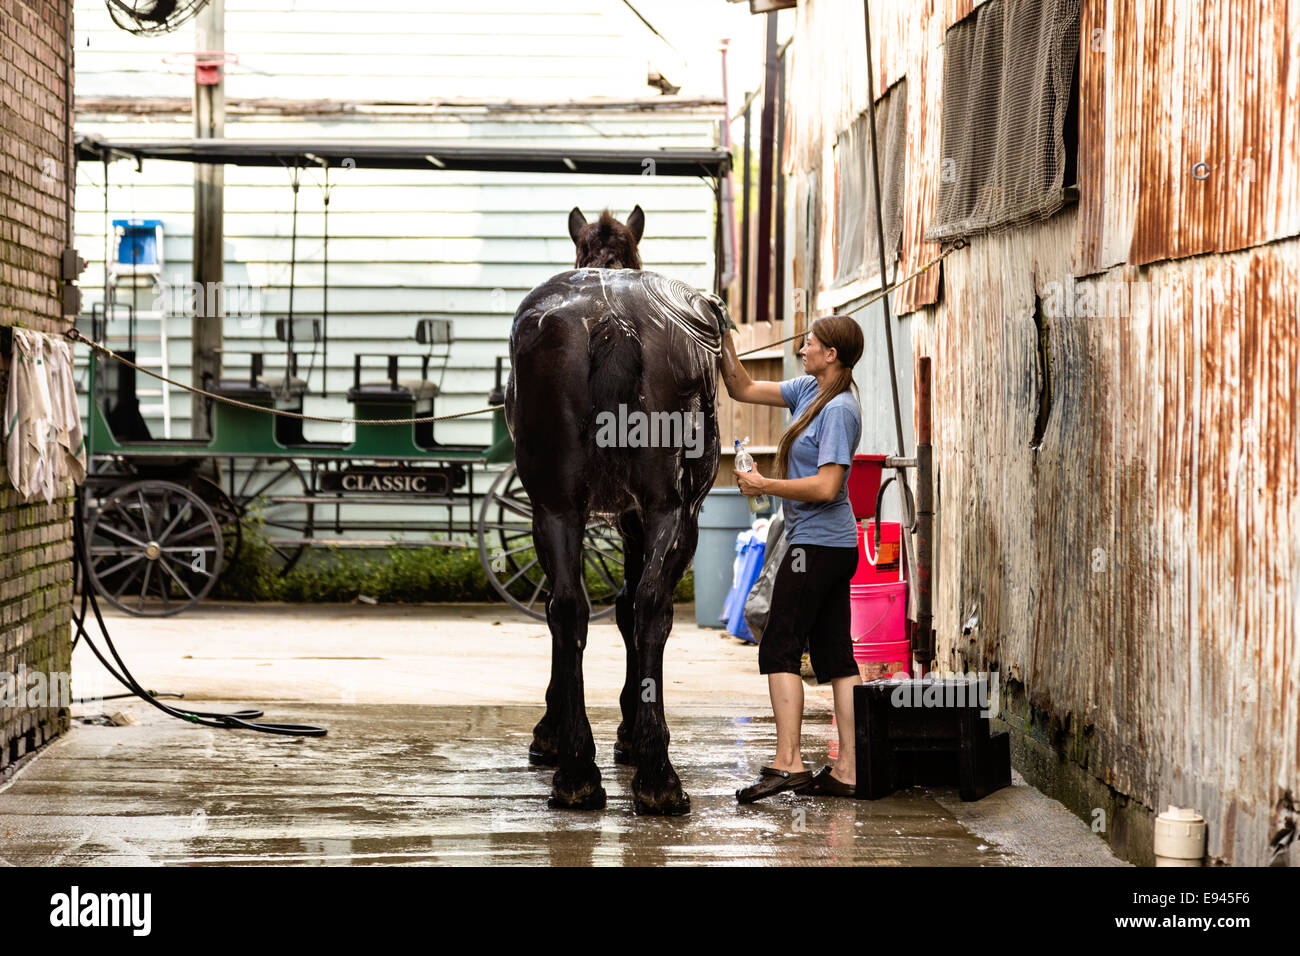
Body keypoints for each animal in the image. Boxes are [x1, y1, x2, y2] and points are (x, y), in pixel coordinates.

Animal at [504, 208, 728, 816]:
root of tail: (611, 320)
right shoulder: (633, 516)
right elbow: (628, 606)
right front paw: (623, 732)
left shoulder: (607, 514)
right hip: (671, 510)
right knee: (645, 607)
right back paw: (652, 773)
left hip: (559, 508)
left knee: (569, 608)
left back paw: (581, 769)